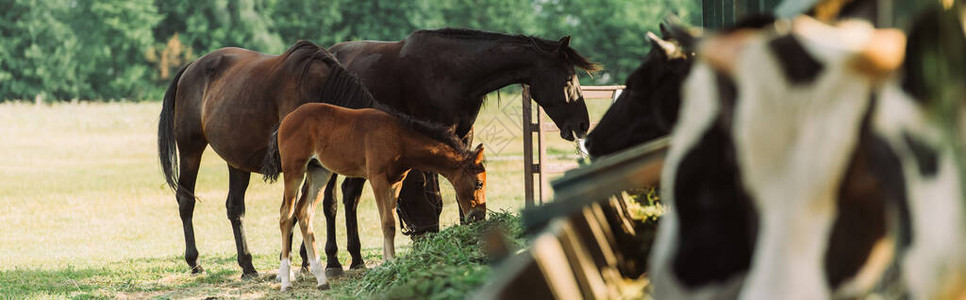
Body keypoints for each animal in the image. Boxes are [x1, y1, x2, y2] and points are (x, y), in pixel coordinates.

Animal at [156, 39, 378, 276]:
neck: (323, 90)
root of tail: (191, 68)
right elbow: (295, 210)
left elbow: (315, 207)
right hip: (190, 150)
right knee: (186, 200)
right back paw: (195, 262)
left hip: (237, 162)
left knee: (235, 208)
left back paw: (247, 265)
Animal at [260, 103, 488, 290]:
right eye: (479, 183)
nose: (479, 216)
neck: (398, 138)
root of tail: (285, 121)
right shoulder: (377, 179)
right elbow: (388, 223)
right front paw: (390, 264)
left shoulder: (396, 183)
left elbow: (391, 223)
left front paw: (388, 263)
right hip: (294, 171)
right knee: (286, 215)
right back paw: (286, 282)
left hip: (319, 171)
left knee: (304, 213)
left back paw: (321, 279)